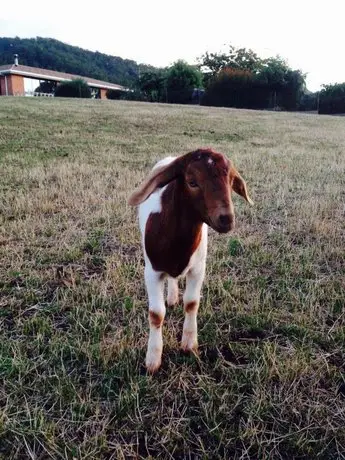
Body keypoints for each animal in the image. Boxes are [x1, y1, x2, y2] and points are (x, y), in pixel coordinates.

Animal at [127, 149, 251, 372]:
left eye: (230, 181)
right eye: (192, 182)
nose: (226, 219)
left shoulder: (198, 269)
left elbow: (192, 303)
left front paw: (189, 344)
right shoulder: (152, 272)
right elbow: (156, 314)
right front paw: (153, 360)